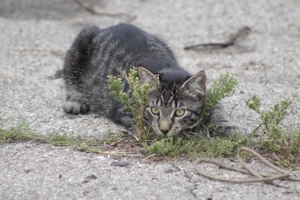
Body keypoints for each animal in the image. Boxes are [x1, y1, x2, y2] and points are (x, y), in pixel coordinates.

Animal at [63, 23, 239, 136]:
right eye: (154, 110)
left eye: (180, 112)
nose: (164, 129)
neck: (168, 68)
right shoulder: (124, 110)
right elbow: (146, 128)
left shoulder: (207, 96)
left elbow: (217, 107)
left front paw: (226, 125)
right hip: (81, 41)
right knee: (69, 76)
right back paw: (76, 100)